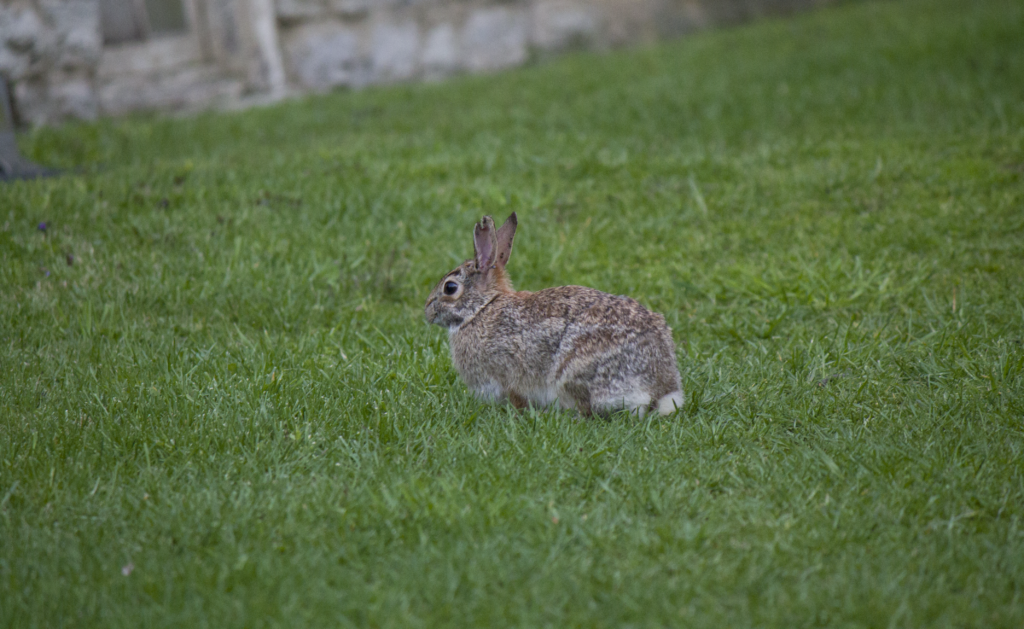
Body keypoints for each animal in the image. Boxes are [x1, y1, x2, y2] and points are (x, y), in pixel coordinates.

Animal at [419, 213, 684, 420]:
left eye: (450, 288)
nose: (427, 311)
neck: (481, 309)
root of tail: (661, 389)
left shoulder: (507, 376)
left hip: (574, 372)